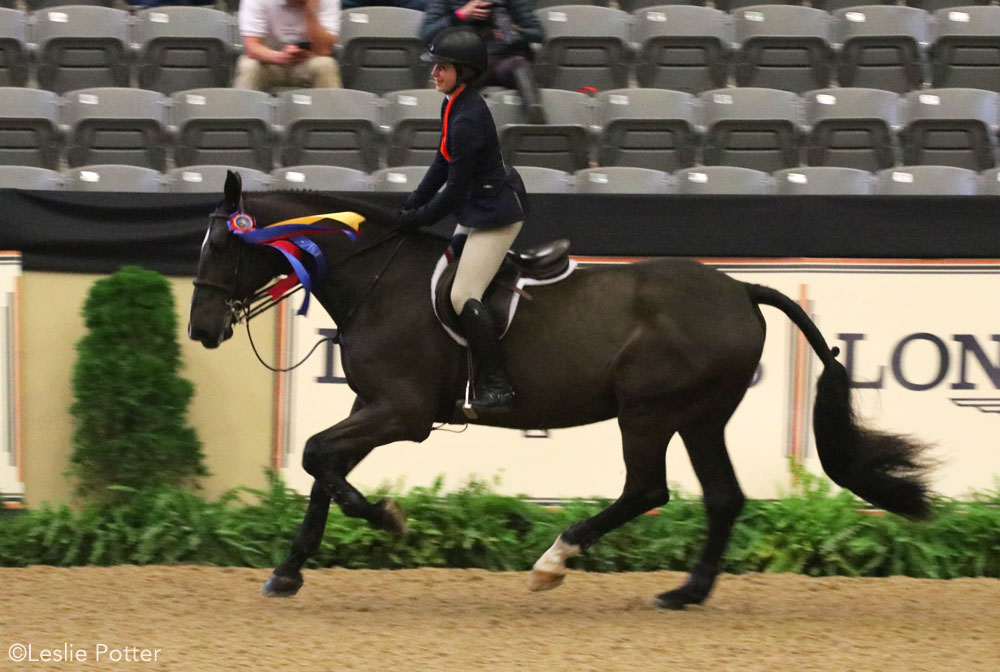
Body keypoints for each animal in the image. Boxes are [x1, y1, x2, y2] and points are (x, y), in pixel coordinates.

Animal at [191, 172, 932, 608]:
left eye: (221, 248)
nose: (201, 329)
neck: (376, 279)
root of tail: (741, 289)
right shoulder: (370, 406)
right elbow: (323, 466)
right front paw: (290, 570)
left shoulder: (401, 412)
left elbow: (318, 457)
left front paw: (385, 520)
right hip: (700, 416)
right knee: (722, 497)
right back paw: (686, 592)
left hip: (648, 411)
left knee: (648, 490)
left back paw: (555, 561)